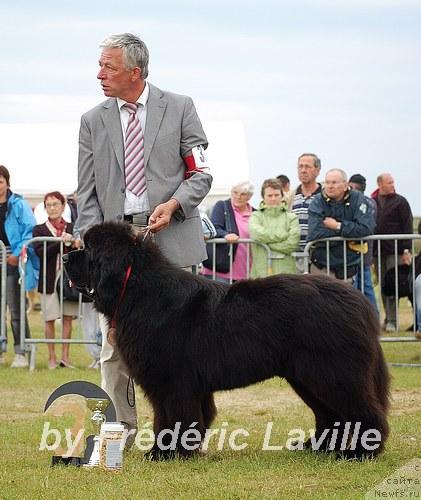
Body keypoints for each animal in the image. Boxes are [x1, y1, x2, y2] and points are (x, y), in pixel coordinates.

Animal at [64, 223, 388, 460]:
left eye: (88, 248)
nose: (65, 257)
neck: (137, 289)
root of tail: (359, 301)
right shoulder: (186, 384)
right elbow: (190, 417)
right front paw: (180, 450)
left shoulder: (172, 381)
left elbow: (173, 418)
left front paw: (165, 453)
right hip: (307, 376)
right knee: (330, 414)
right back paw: (317, 447)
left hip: (332, 373)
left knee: (361, 412)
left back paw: (360, 452)